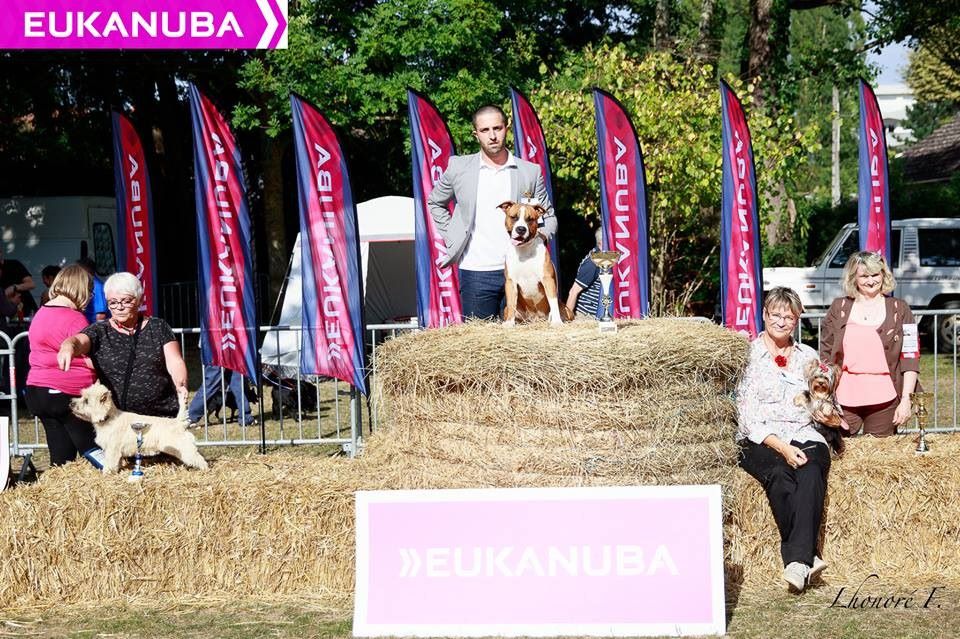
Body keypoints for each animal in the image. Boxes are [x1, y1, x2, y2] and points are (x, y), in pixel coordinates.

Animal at [70, 382, 209, 472]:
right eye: (82, 396)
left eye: (86, 401)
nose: (71, 403)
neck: (108, 418)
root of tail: (178, 422)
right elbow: (117, 463)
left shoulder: (112, 449)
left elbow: (110, 463)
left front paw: (106, 474)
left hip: (185, 449)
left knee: (198, 458)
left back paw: (205, 470)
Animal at [496, 200, 568, 328]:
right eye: (514, 217)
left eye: (530, 219)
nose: (521, 229)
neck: (524, 251)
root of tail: (535, 319)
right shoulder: (511, 282)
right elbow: (511, 303)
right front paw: (509, 323)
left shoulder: (547, 279)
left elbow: (552, 301)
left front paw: (556, 322)